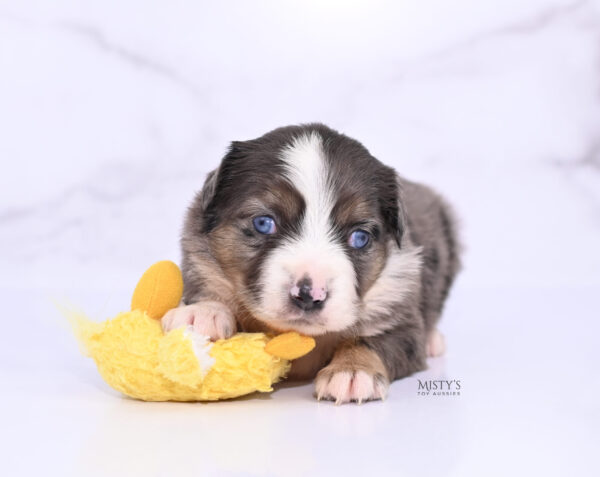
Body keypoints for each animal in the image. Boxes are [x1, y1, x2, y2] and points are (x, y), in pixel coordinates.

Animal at [162, 122, 462, 402]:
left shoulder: (401, 314)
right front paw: (202, 312)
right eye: (263, 223)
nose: (309, 294)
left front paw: (352, 371)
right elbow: (209, 285)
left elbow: (374, 341)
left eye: (360, 237)